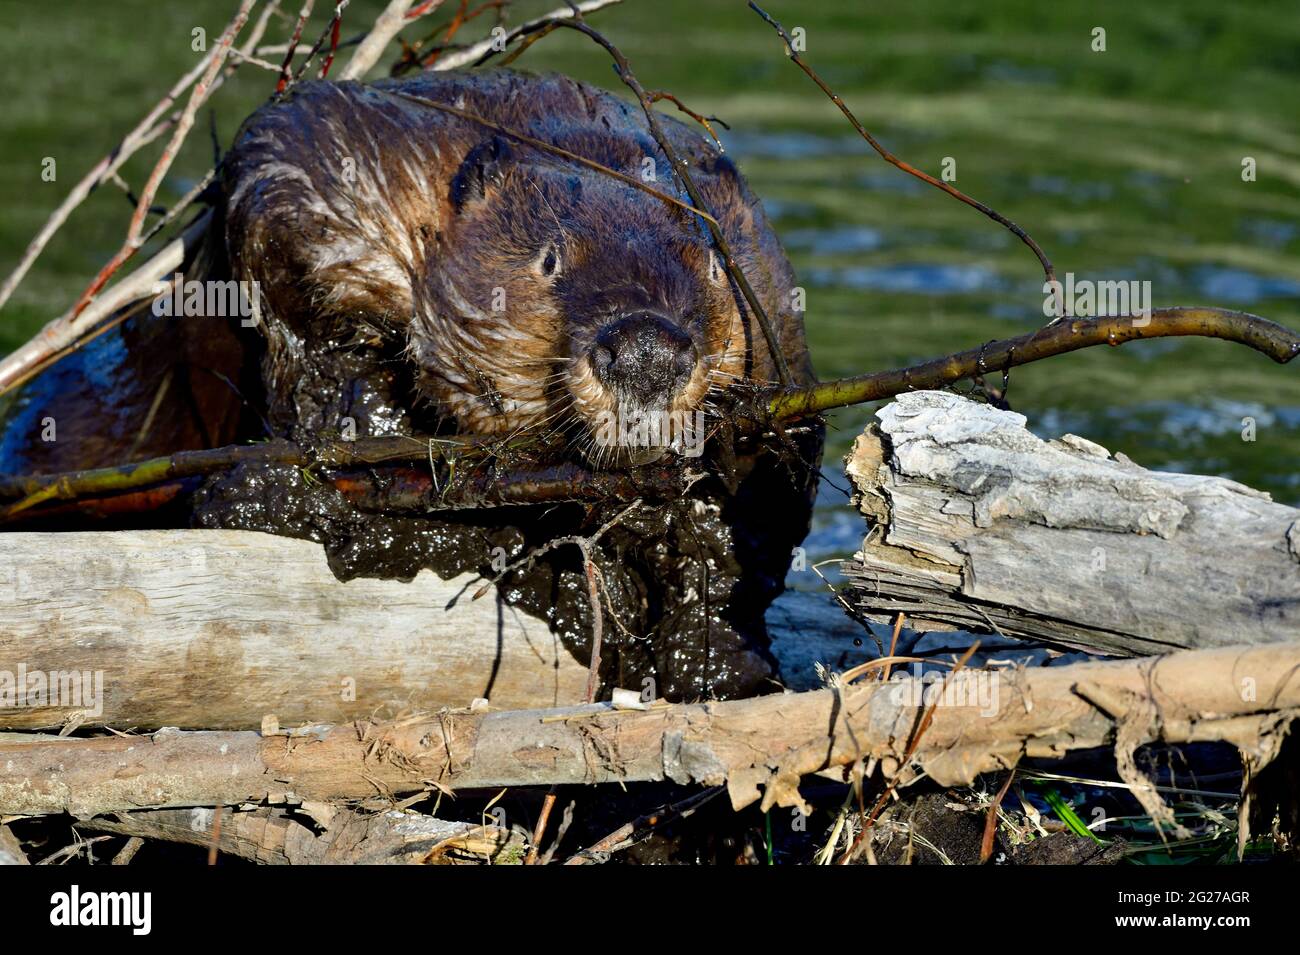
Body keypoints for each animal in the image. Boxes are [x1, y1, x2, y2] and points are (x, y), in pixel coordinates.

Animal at [2, 70, 821, 701]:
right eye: (551, 259)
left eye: (712, 262)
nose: (647, 350)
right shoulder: (331, 163)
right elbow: (287, 266)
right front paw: (366, 439)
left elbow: (770, 500)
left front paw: (710, 635)